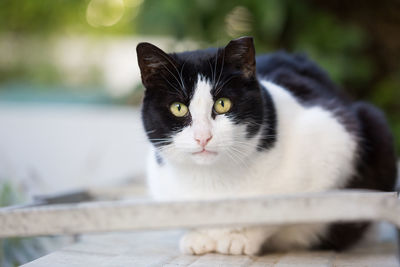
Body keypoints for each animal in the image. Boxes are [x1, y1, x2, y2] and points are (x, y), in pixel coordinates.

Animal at [135, 36, 396, 256]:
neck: (213, 182)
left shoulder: (336, 143)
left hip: (374, 121)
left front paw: (240, 237)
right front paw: (199, 236)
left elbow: (277, 211)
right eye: (178, 108)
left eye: (222, 104)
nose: (203, 137)